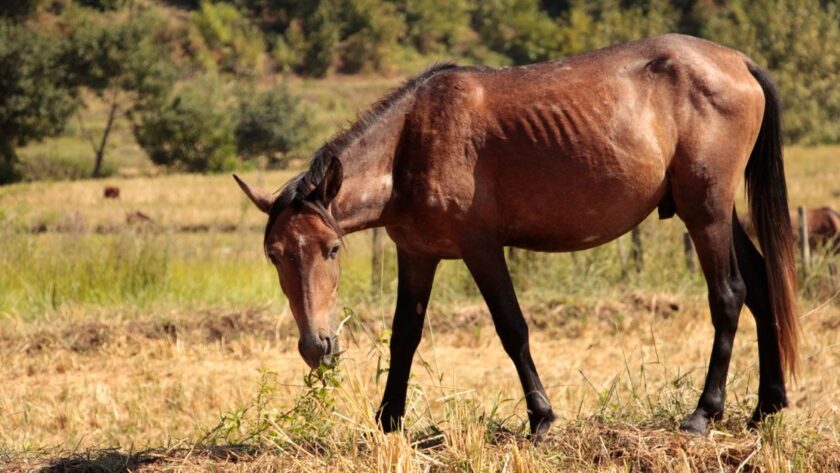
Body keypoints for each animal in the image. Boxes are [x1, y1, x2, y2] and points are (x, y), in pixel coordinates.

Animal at [234, 34, 799, 440]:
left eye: (332, 249)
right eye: (274, 255)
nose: (317, 346)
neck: (412, 141)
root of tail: (738, 62)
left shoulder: (481, 249)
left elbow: (512, 329)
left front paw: (541, 418)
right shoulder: (416, 253)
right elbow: (404, 336)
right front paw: (388, 421)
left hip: (705, 212)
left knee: (728, 296)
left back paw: (704, 413)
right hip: (715, 214)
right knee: (761, 286)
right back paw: (767, 406)